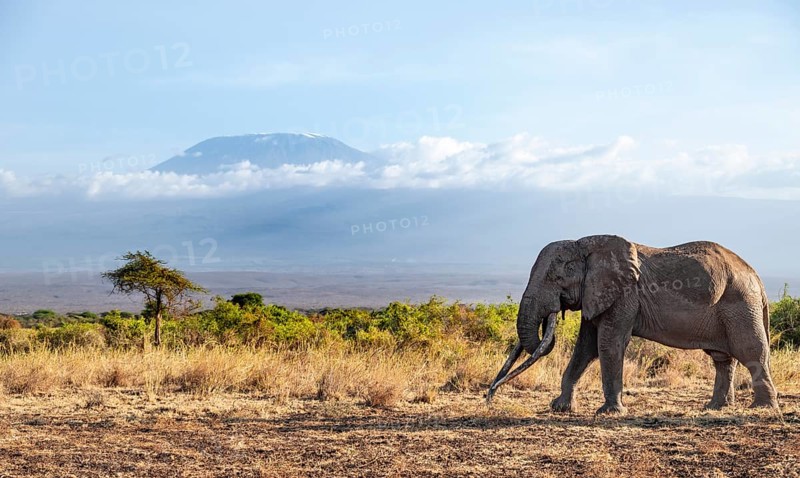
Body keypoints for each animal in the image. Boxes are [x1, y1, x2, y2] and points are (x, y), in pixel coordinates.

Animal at [487, 235, 778, 414]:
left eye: (556, 278)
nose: (488, 399)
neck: (585, 244)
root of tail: (756, 276)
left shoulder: (624, 294)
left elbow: (609, 343)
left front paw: (609, 412)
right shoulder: (597, 293)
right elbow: (586, 347)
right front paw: (559, 408)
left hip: (740, 303)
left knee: (751, 351)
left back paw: (762, 408)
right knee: (722, 358)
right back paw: (715, 408)